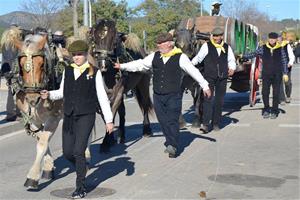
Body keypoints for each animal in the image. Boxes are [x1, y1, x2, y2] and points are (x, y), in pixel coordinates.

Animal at [88, 19, 154, 153]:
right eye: (94, 39)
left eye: (114, 41)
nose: (103, 65)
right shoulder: (100, 97)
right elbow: (107, 116)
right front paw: (110, 140)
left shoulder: (118, 93)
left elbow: (111, 113)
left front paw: (106, 142)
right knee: (122, 112)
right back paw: (121, 136)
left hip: (143, 85)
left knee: (144, 105)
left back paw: (146, 129)